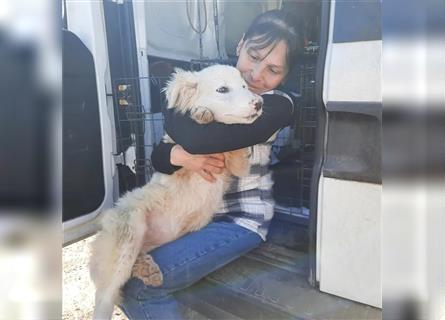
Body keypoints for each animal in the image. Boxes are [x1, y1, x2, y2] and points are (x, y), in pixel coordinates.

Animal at [91, 63, 264, 318]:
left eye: (244, 86)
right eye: (222, 89)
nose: (259, 103)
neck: (216, 149)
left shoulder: (238, 166)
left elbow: (238, 148)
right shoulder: (179, 163)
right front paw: (202, 113)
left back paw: (147, 268)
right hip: (128, 235)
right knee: (106, 293)